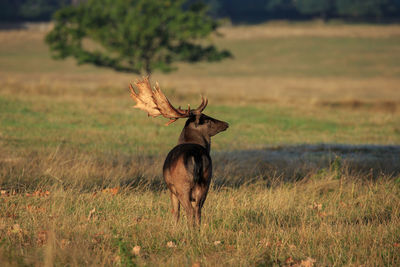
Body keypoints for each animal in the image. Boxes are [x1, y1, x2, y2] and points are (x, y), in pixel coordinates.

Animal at [128, 77, 228, 226]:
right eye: (207, 119)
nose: (226, 124)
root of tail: (195, 156)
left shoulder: (171, 188)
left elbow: (175, 212)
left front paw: (174, 227)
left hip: (182, 186)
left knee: (189, 211)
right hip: (206, 181)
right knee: (198, 210)